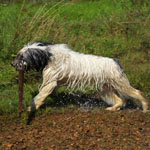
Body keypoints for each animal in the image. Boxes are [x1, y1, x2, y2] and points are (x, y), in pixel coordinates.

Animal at [11, 41, 149, 112]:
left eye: (22, 57)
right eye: (18, 55)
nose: (12, 64)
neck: (48, 56)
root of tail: (115, 61)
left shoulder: (49, 83)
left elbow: (39, 97)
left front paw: (31, 108)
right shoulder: (54, 83)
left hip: (120, 84)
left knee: (137, 92)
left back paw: (145, 107)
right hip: (105, 88)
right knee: (120, 100)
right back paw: (113, 108)